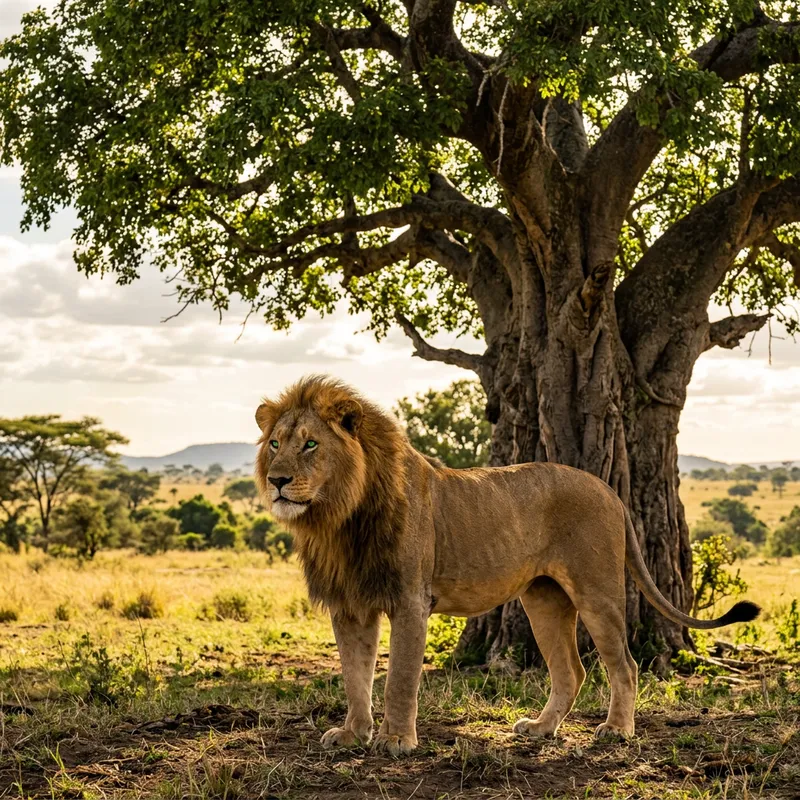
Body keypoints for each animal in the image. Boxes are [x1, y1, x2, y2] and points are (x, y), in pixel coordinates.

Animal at [254, 375, 759, 756]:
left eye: (310, 445)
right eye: (275, 443)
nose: (276, 480)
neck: (339, 518)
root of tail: (609, 489)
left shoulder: (411, 600)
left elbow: (398, 677)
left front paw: (396, 741)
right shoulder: (350, 605)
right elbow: (354, 676)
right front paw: (353, 734)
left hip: (597, 594)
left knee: (626, 666)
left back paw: (616, 730)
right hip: (543, 600)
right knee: (571, 672)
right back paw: (541, 729)